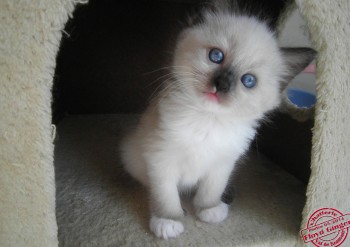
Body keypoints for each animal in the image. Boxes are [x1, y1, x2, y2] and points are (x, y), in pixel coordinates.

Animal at [119, 3, 314, 239]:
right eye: (216, 56)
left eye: (249, 81)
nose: (221, 85)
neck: (208, 120)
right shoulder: (161, 160)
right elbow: (166, 195)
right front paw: (169, 220)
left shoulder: (222, 164)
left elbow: (211, 190)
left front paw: (209, 209)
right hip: (132, 154)